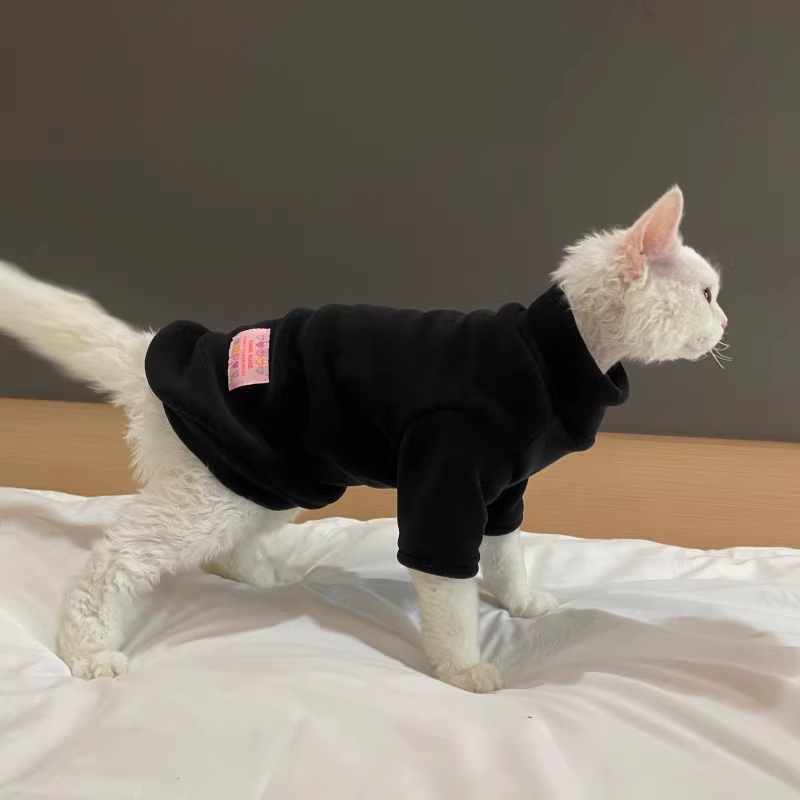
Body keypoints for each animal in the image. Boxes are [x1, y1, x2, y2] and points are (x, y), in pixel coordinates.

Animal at [0, 185, 726, 692]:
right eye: (708, 294)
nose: (727, 322)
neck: (551, 353)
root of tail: (153, 353)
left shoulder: (503, 495)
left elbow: (508, 557)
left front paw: (521, 603)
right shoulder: (444, 484)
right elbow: (451, 594)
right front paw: (463, 669)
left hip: (273, 480)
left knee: (222, 551)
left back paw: (262, 576)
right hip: (218, 492)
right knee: (115, 556)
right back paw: (89, 651)